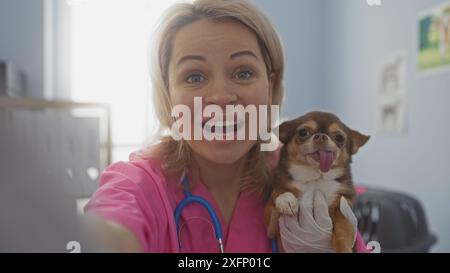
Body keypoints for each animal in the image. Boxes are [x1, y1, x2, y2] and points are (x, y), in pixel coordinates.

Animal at [264, 111, 370, 252]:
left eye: (340, 138)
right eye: (303, 132)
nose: (321, 136)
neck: (315, 179)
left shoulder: (342, 208)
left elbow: (343, 229)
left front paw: (343, 248)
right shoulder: (271, 228)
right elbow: (276, 193)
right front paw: (285, 199)